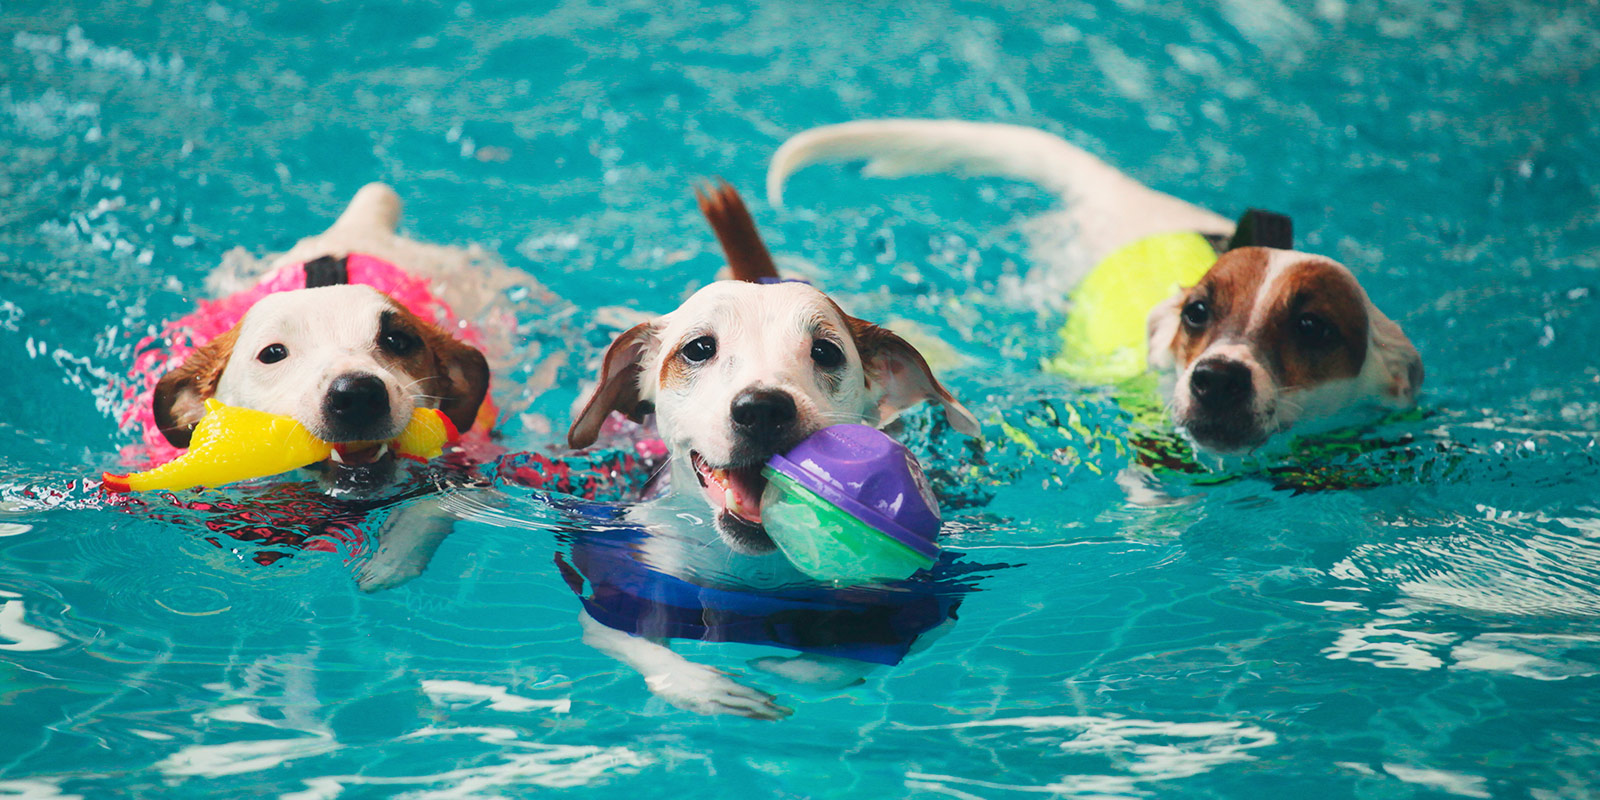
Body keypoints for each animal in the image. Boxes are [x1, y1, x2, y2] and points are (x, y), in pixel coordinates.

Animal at [563, 183, 985, 720]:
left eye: (826, 351)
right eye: (698, 348)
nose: (762, 409)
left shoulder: (907, 595)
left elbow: (845, 658)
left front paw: (786, 668)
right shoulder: (629, 575)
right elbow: (634, 640)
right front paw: (708, 687)